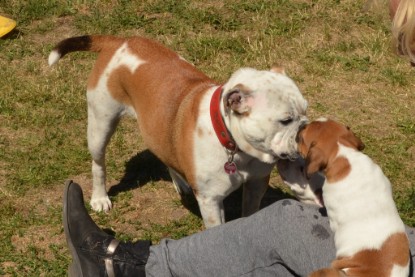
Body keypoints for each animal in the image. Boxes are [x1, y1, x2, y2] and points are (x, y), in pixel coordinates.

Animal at [48, 35, 308, 226]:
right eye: (285, 120)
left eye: (306, 110)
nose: (304, 129)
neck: (234, 145)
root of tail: (118, 41)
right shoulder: (211, 201)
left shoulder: (256, 184)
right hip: (100, 123)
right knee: (98, 163)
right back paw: (100, 198)